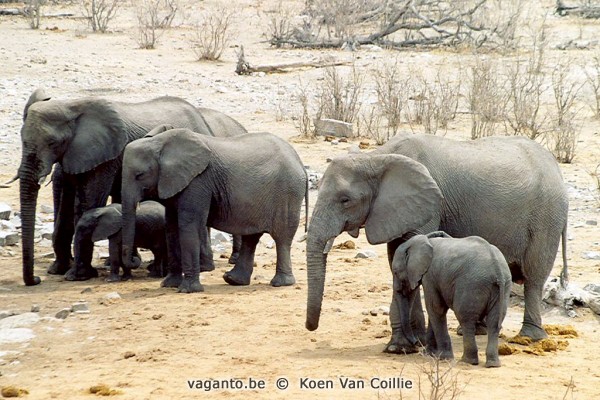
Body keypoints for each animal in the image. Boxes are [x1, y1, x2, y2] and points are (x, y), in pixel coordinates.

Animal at [15, 88, 246, 286]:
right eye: (21, 139)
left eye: (52, 143)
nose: (36, 279)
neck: (70, 105)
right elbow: (66, 205)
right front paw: (60, 271)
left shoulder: (104, 157)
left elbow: (87, 203)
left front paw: (79, 275)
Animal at [119, 128, 308, 294]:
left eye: (140, 175)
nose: (134, 260)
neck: (158, 143)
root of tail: (299, 160)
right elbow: (171, 228)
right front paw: (169, 285)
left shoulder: (198, 181)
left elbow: (189, 226)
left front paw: (188, 290)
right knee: (252, 236)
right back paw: (234, 280)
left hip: (287, 193)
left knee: (281, 237)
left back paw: (280, 283)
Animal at [308, 134, 568, 350]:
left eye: (345, 200)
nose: (312, 328)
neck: (376, 157)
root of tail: (555, 165)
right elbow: (397, 261)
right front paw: (408, 344)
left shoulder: (428, 206)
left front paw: (404, 347)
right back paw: (474, 331)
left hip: (547, 217)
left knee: (534, 277)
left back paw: (529, 338)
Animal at [392, 233, 512, 368]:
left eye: (395, 272)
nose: (415, 343)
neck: (425, 240)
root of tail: (497, 270)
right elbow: (435, 310)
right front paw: (429, 354)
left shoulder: (430, 276)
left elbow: (435, 308)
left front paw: (442, 357)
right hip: (503, 287)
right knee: (494, 322)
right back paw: (493, 364)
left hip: (471, 285)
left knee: (466, 319)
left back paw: (467, 361)